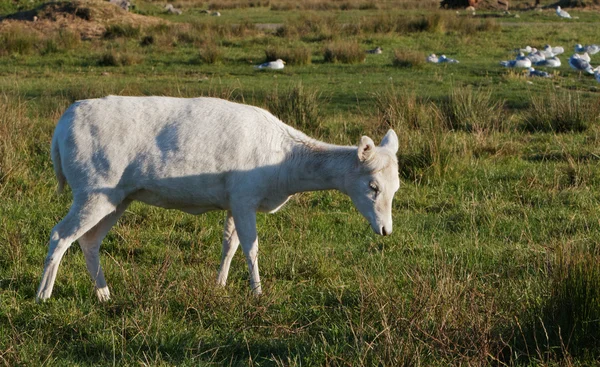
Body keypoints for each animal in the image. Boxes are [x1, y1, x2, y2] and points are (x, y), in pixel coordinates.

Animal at [34, 96, 398, 304]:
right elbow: (251, 246)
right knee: (60, 234)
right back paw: (43, 296)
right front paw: (257, 292)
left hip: (117, 197)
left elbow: (229, 244)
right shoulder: (245, 194)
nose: (386, 230)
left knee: (89, 241)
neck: (283, 172)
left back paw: (105, 295)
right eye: (372, 186)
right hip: (92, 188)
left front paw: (220, 285)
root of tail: (59, 128)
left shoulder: (233, 200)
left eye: (396, 187)